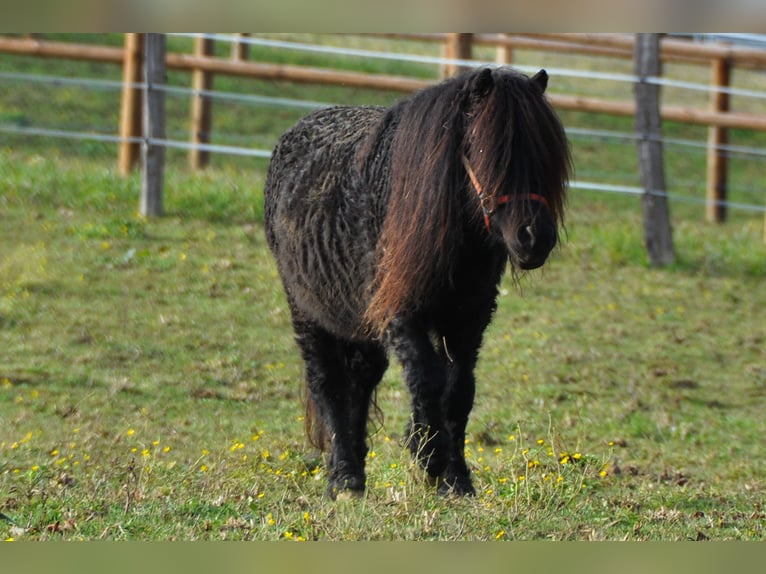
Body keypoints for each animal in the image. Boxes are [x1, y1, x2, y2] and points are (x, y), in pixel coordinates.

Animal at [264, 66, 568, 500]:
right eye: (485, 149)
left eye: (545, 151)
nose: (534, 238)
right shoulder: (401, 312)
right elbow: (425, 378)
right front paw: (429, 455)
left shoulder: (469, 318)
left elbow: (459, 390)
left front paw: (456, 478)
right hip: (307, 311)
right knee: (329, 384)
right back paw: (343, 477)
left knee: (360, 380)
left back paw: (356, 471)